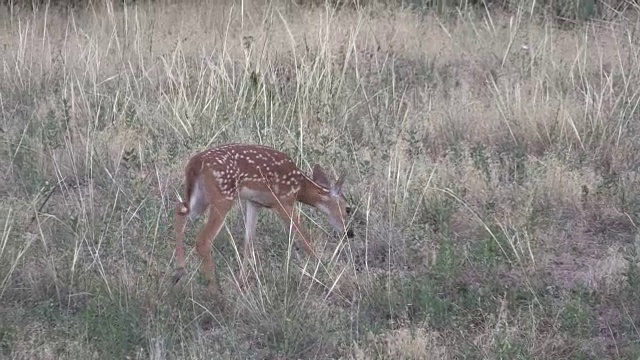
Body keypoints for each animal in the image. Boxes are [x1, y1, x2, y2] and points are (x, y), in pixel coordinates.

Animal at [170, 143, 356, 296]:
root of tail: (196, 162)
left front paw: (242, 283)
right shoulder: (283, 201)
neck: (300, 187)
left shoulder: (254, 202)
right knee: (203, 239)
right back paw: (216, 293)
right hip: (223, 196)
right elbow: (303, 237)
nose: (350, 233)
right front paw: (325, 272)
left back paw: (178, 272)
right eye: (348, 209)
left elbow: (249, 240)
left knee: (180, 211)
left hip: (200, 198)